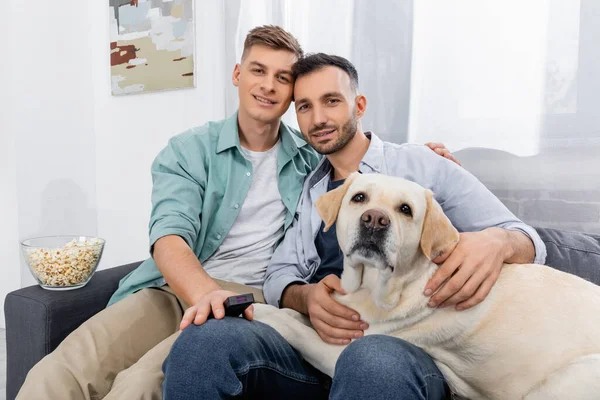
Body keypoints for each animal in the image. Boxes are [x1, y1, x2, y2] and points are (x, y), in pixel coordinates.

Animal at [253, 173, 600, 400]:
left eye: (405, 210)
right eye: (359, 198)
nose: (374, 219)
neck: (373, 285)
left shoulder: (336, 352)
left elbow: (296, 329)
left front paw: (260, 310)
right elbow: (300, 317)